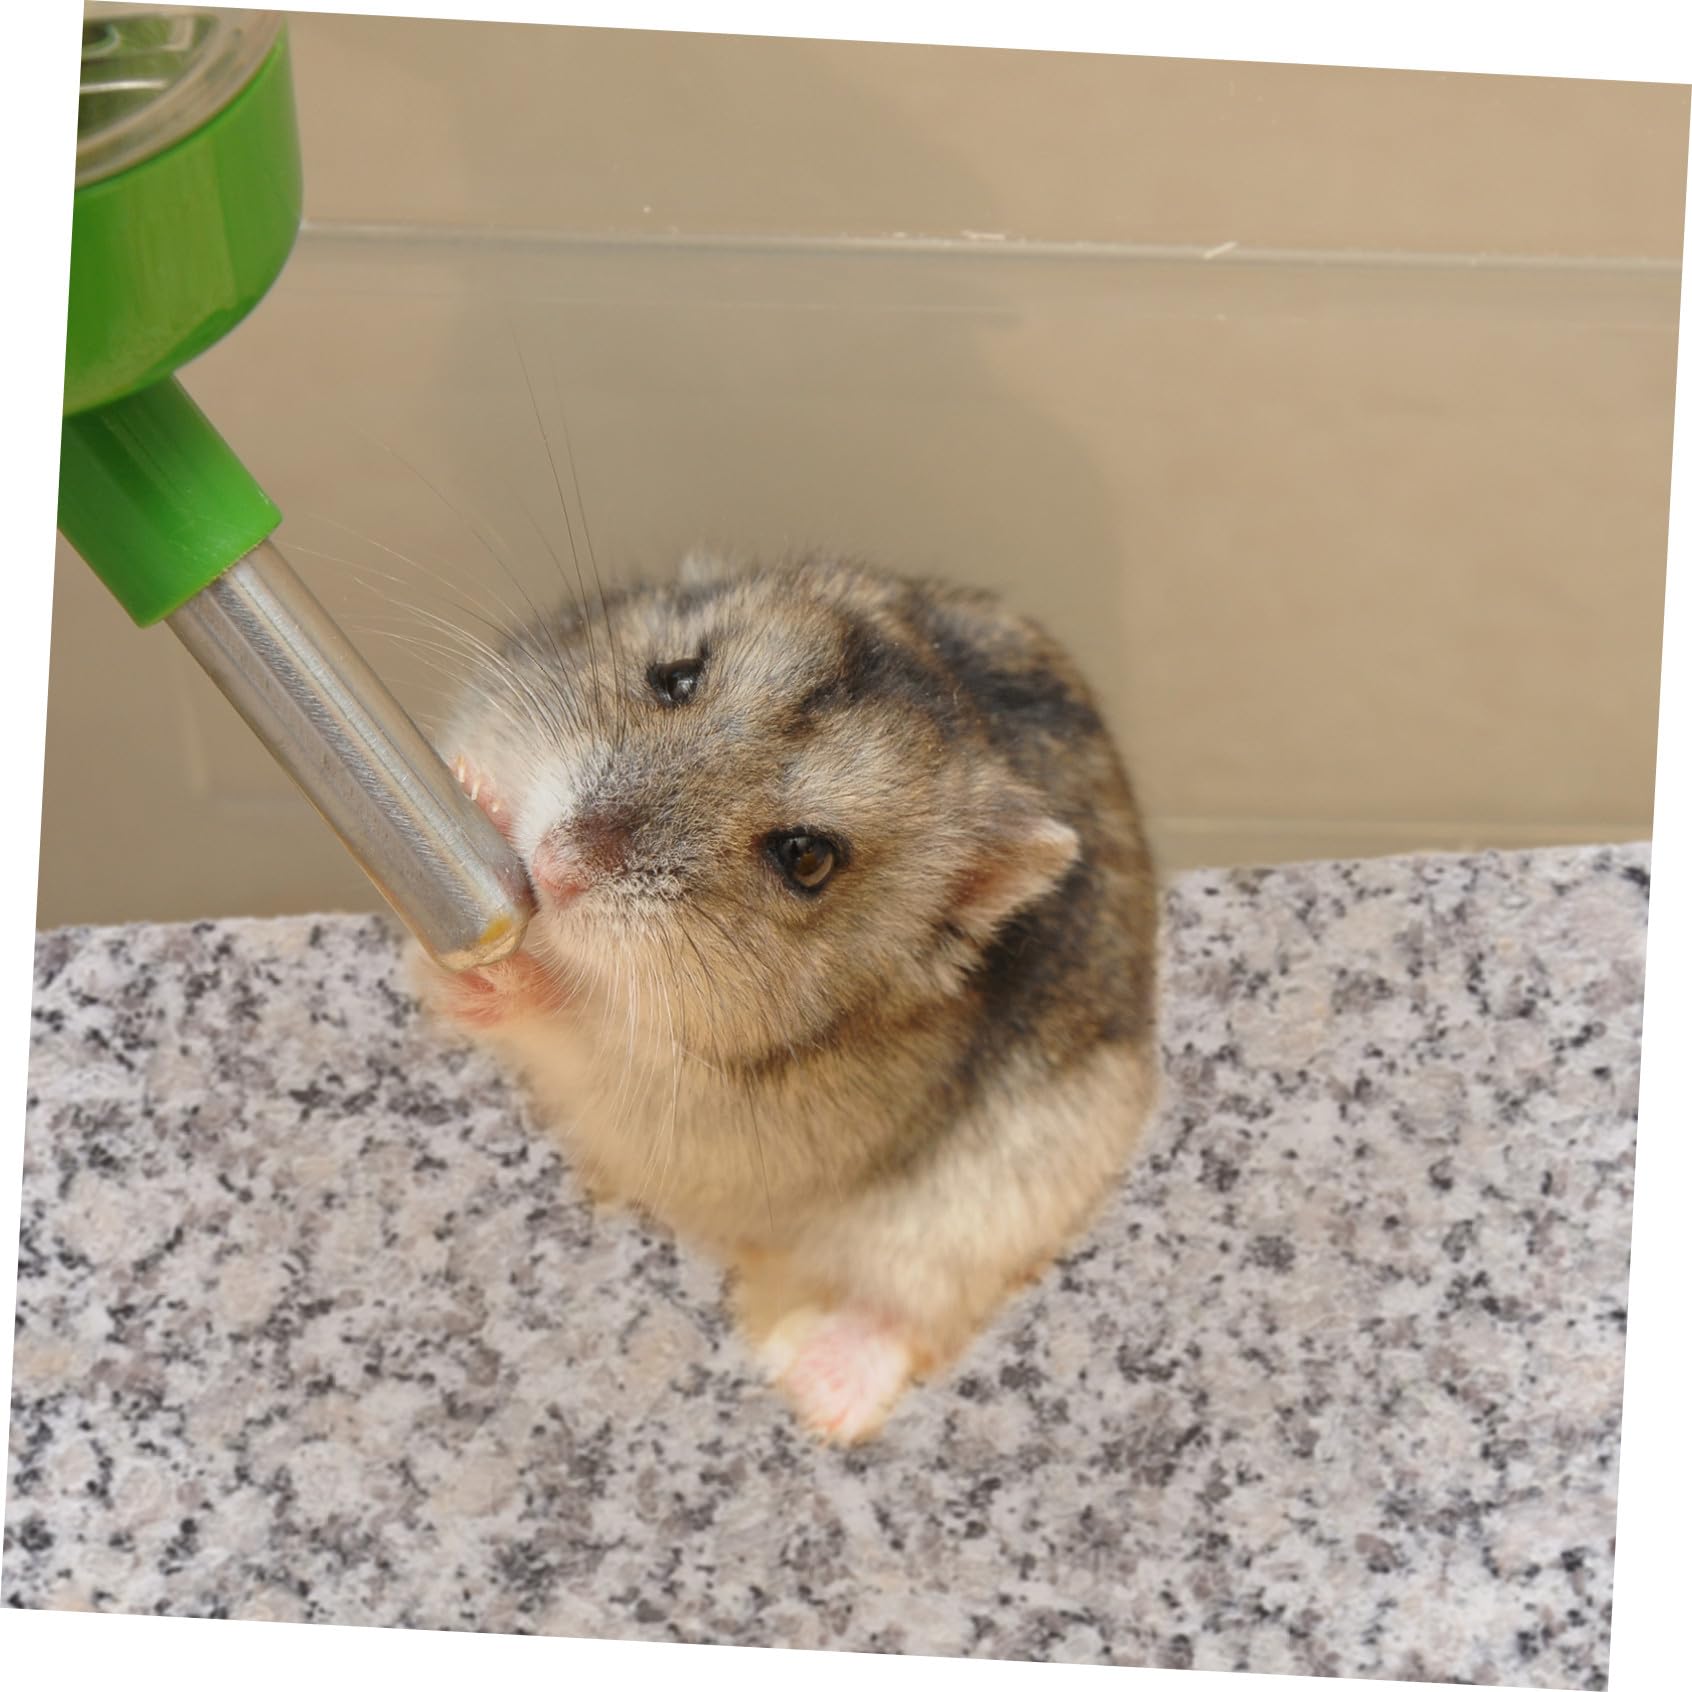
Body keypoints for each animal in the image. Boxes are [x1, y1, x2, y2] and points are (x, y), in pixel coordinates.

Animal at [410, 552, 1159, 1442]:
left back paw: (810, 1390)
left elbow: (578, 1024)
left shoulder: (692, 1104)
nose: (555, 869)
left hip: (992, 1211)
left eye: (807, 858)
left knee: (911, 1310)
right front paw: (474, 787)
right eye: (676, 677)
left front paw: (516, 973)